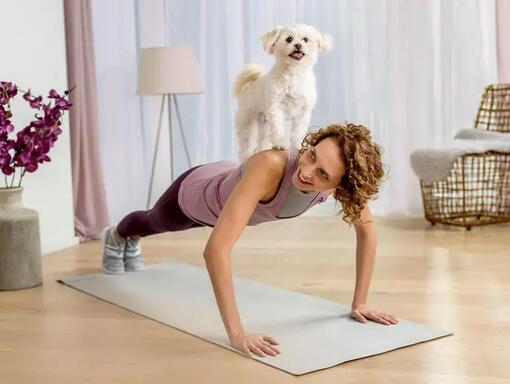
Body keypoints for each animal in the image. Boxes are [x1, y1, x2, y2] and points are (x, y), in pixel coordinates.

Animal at [233, 24, 332, 162]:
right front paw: (280, 144)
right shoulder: (275, 108)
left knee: (262, 144)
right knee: (246, 147)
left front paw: (299, 146)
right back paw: (245, 160)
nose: (298, 45)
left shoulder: (303, 111)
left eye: (305, 40)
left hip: (265, 125)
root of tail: (249, 84)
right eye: (289, 39)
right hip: (248, 123)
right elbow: (278, 129)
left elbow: (298, 132)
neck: (293, 73)